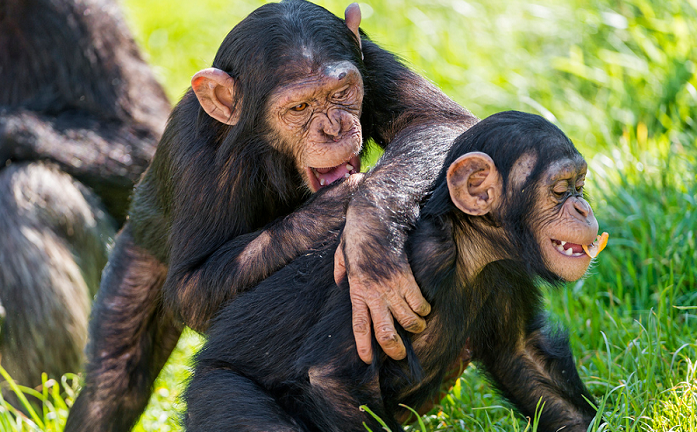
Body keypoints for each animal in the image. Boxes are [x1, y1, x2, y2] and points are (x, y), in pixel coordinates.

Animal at [64, 1, 478, 430]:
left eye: (341, 92)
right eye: (299, 108)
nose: (334, 128)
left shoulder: (371, 60)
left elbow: (438, 121)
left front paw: (371, 243)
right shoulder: (193, 157)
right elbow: (189, 290)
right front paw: (343, 204)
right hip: (140, 245)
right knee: (115, 378)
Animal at [185, 111, 600, 432]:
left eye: (579, 186)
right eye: (561, 189)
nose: (582, 208)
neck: (470, 246)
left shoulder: (508, 275)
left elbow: (524, 360)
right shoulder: (410, 261)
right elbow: (331, 379)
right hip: (216, 389)